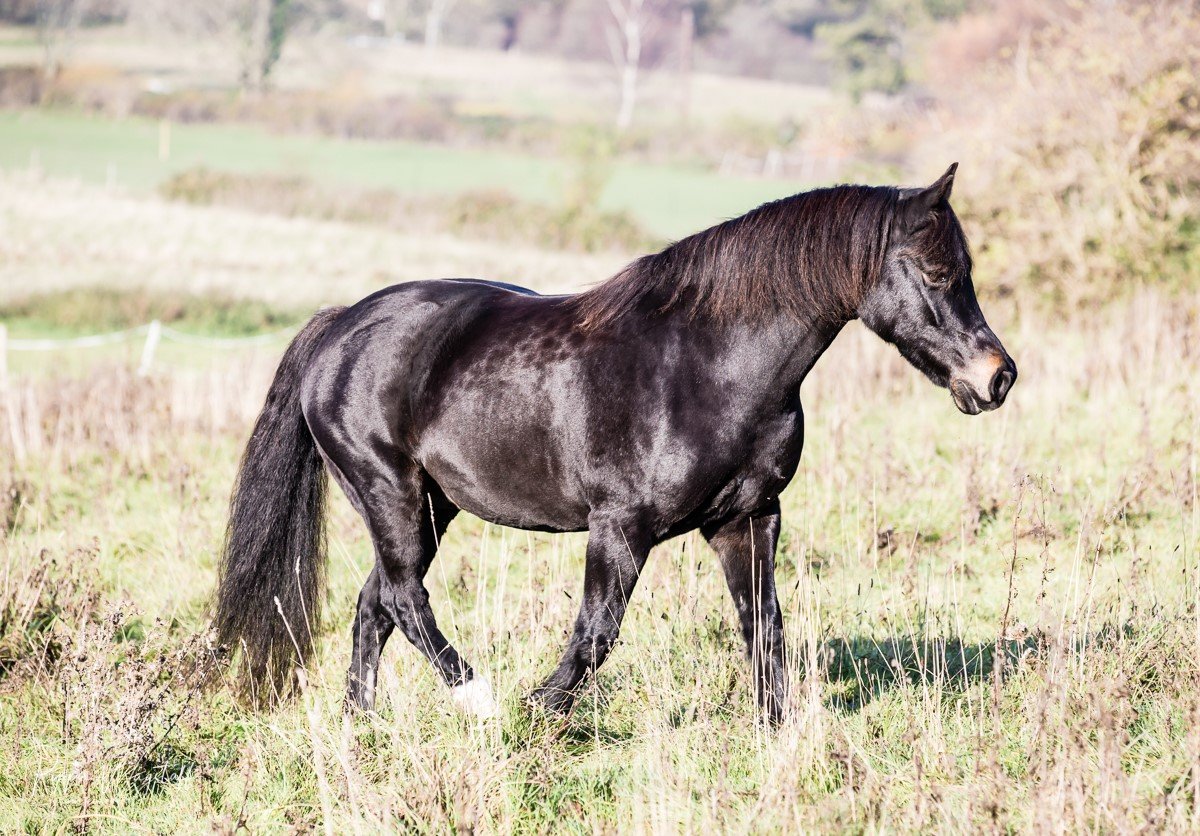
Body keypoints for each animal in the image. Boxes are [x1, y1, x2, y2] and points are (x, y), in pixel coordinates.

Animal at [213, 164, 1016, 723]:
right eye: (936, 271)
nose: (997, 376)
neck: (709, 364)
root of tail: (342, 325)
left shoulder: (748, 520)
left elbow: (764, 628)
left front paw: (777, 730)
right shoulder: (620, 527)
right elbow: (597, 632)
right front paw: (539, 709)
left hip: (433, 506)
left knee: (374, 605)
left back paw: (361, 724)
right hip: (392, 493)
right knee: (406, 599)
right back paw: (478, 699)